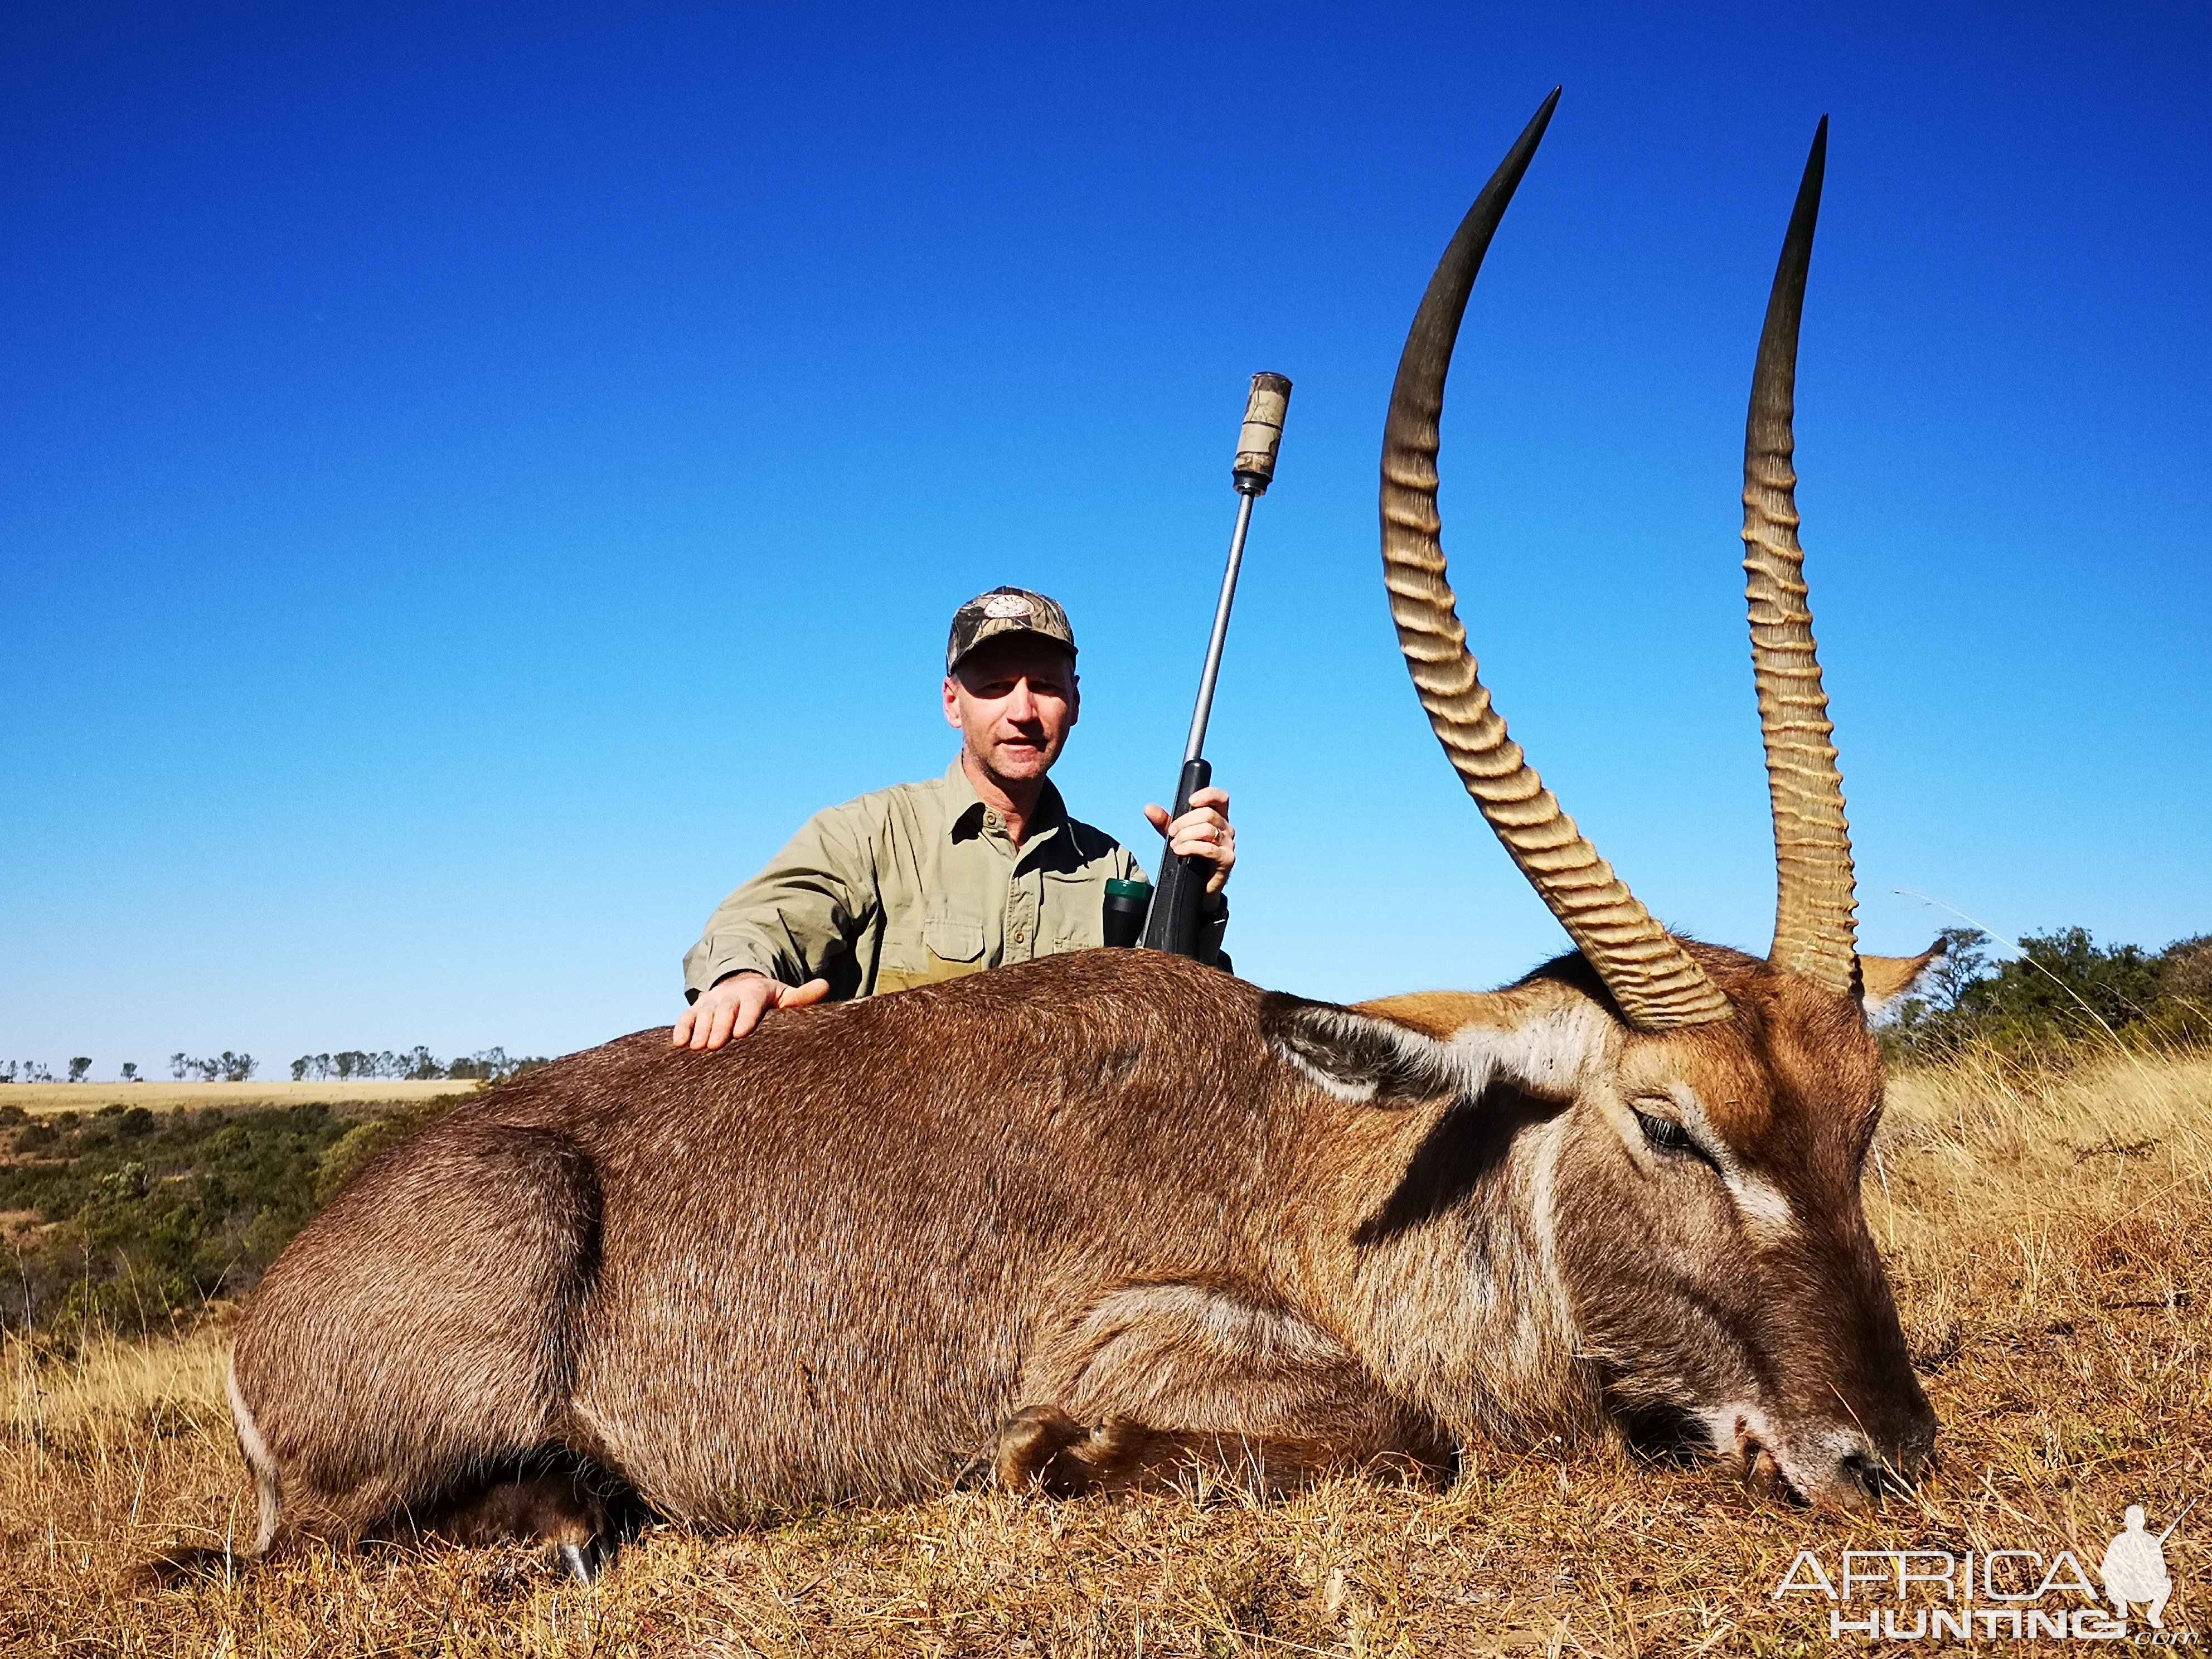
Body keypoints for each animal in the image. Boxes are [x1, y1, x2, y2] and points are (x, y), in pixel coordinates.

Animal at [229, 94, 1937, 1584]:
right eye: (1666, 1126)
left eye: (1864, 1123)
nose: (1887, 1455)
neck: (1345, 1161)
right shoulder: (1135, 1331)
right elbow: (1398, 1437)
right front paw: (1063, 1454)